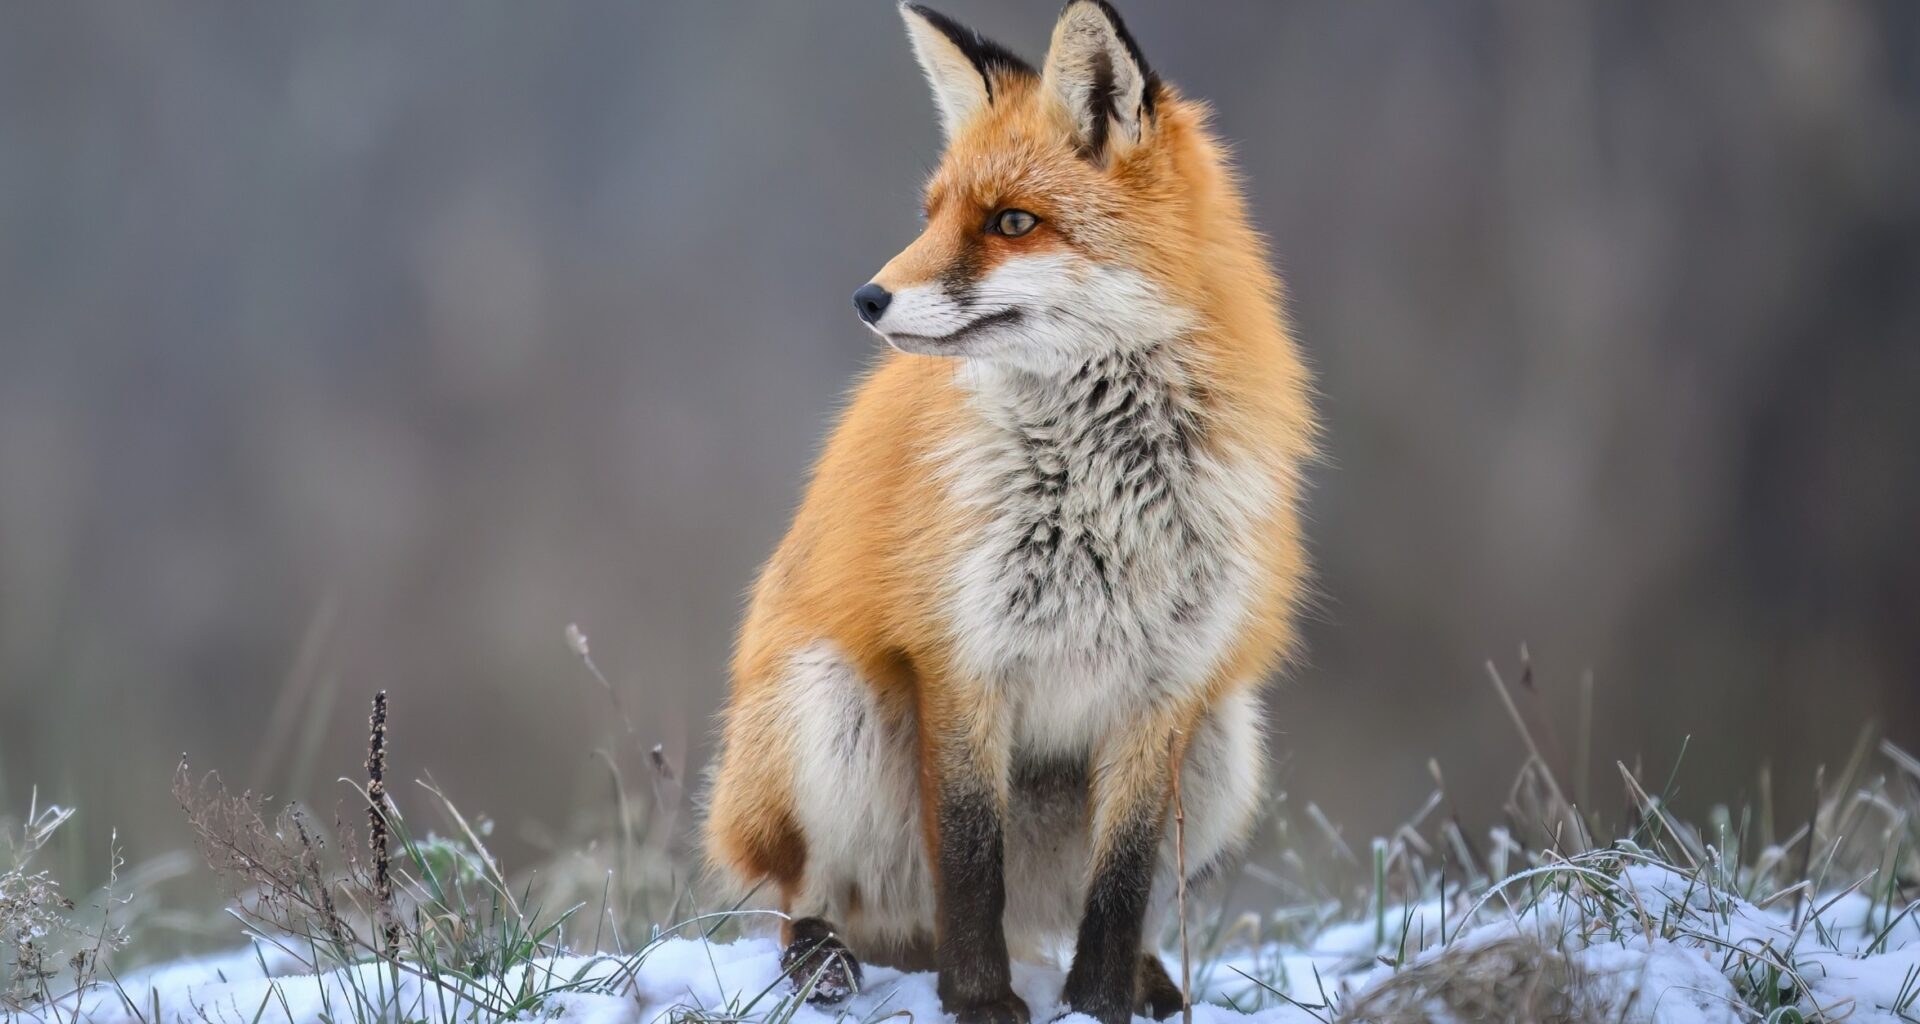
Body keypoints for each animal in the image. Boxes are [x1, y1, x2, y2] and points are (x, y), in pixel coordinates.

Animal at [702, 4, 1314, 1024]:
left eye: (1013, 222)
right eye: (933, 217)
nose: (867, 297)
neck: (1103, 487)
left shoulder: (1167, 686)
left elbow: (1121, 885)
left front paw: (1099, 1003)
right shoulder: (962, 656)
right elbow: (970, 859)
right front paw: (981, 1001)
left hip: (1228, 744)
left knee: (1101, 905)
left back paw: (1149, 981)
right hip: (826, 708)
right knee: (804, 896)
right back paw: (823, 962)